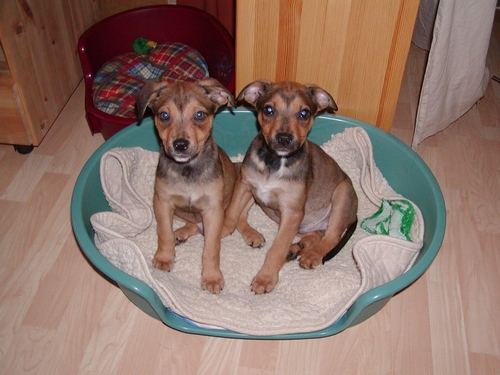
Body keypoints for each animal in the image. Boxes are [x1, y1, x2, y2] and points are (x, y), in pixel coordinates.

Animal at [137, 79, 236, 296]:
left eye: (199, 115)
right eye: (164, 115)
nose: (180, 145)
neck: (187, 170)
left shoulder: (213, 210)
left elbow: (211, 248)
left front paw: (212, 277)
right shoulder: (162, 202)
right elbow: (164, 233)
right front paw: (164, 257)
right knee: (190, 224)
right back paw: (179, 234)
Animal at [221, 81, 358, 296]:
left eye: (304, 113)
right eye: (269, 110)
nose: (284, 138)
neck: (274, 162)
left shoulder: (292, 212)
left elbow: (277, 249)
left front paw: (265, 278)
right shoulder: (245, 184)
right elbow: (232, 213)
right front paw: (218, 232)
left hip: (342, 192)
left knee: (332, 236)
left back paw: (311, 255)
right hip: (296, 220)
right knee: (315, 235)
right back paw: (294, 249)